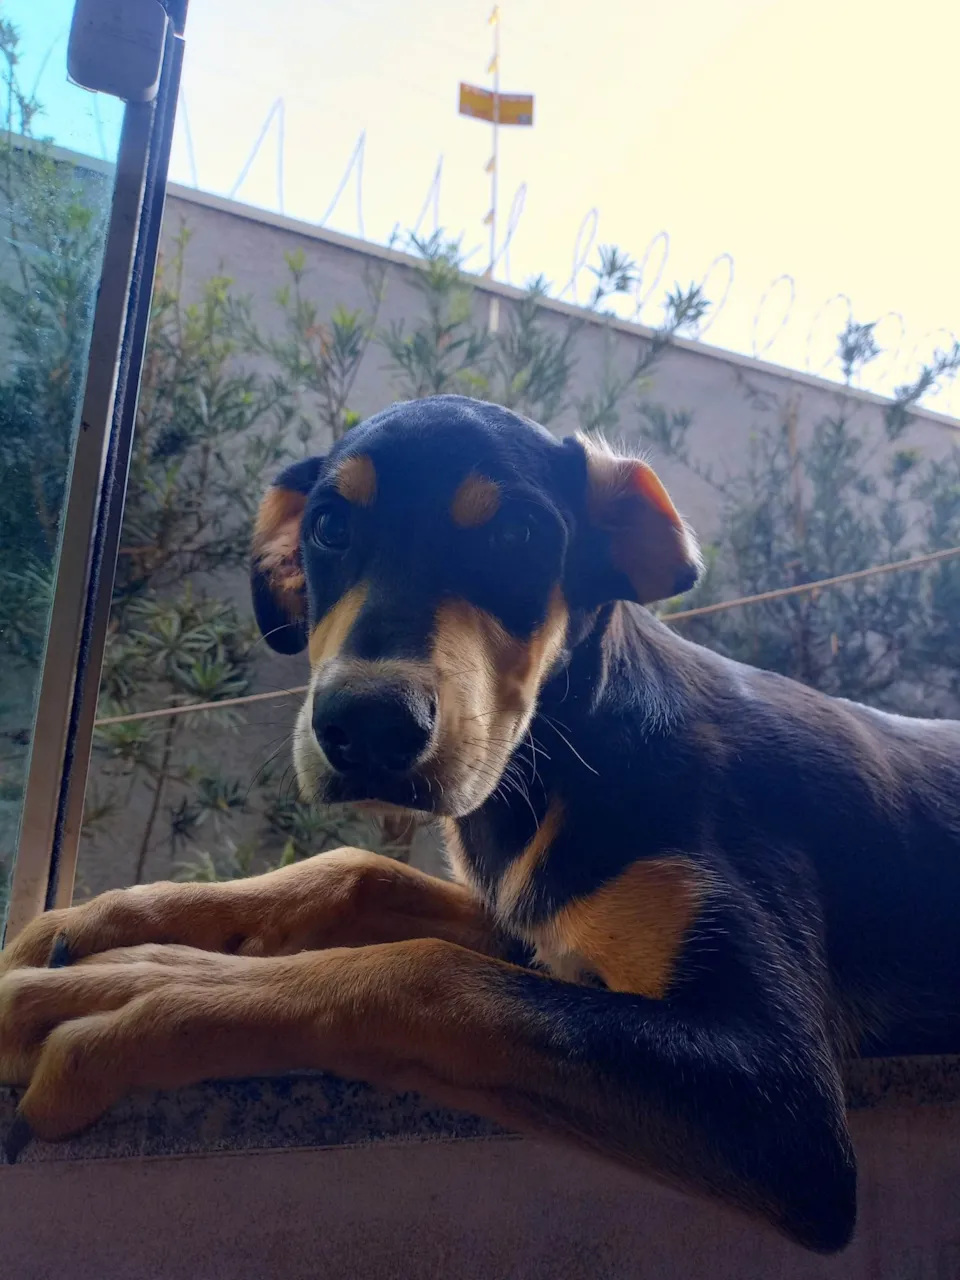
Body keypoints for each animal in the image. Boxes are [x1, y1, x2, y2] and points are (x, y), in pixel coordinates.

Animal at [1, 395, 958, 1254]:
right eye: (329, 527)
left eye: (520, 536)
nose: (366, 727)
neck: (560, 761)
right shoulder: (530, 924)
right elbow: (357, 872)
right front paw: (106, 925)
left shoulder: (775, 1090)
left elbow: (423, 973)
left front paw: (152, 987)